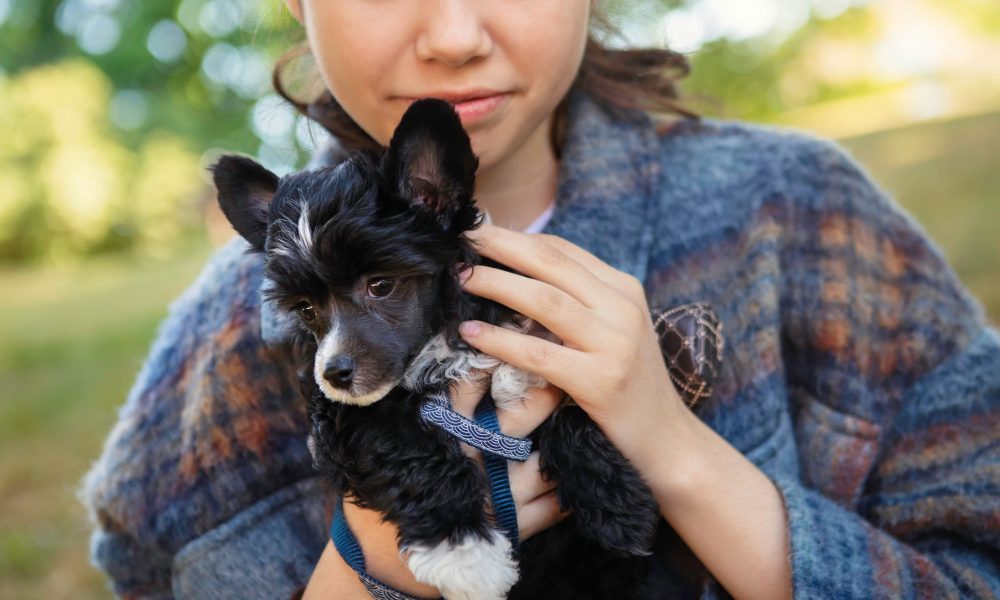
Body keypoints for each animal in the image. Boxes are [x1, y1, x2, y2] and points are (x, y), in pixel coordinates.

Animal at [213, 101, 664, 596]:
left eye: (381, 285)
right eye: (307, 308)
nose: (334, 373)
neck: (442, 342)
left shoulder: (545, 352)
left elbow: (576, 411)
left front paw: (618, 506)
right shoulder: (343, 416)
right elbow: (407, 452)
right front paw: (464, 553)